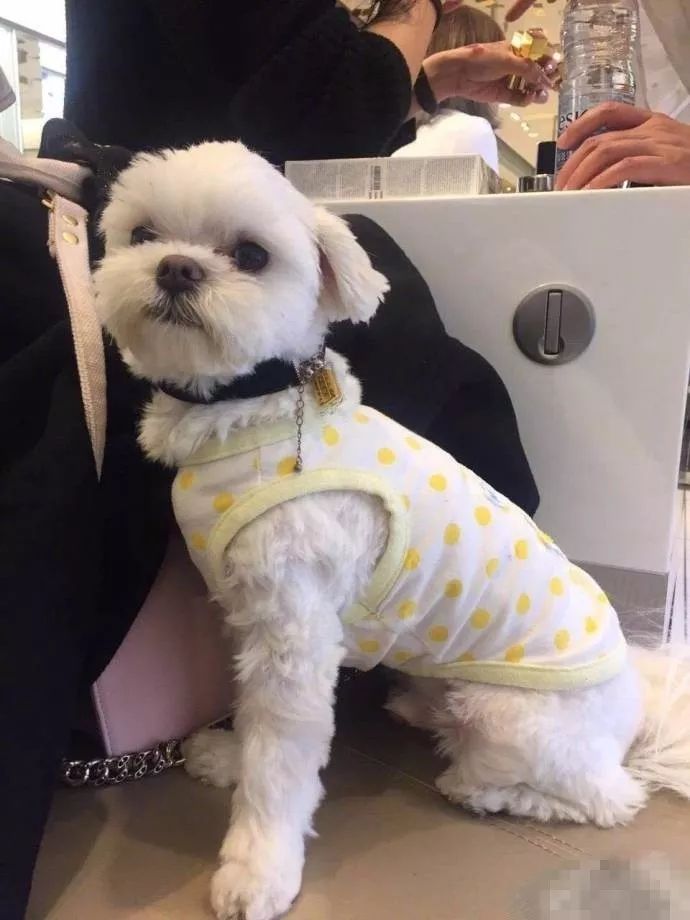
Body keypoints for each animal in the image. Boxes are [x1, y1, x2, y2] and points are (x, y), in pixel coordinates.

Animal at [95, 141, 690, 920]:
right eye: (142, 235)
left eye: (251, 254)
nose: (175, 267)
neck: (252, 407)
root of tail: (637, 698)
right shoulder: (253, 613)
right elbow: (252, 723)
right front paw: (227, 755)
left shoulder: (295, 634)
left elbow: (279, 759)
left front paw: (258, 868)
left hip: (508, 716)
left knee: (607, 797)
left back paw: (483, 789)